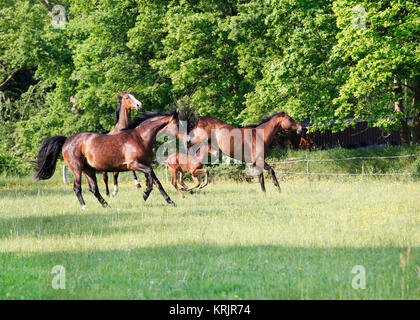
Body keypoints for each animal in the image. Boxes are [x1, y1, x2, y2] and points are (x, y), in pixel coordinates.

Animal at [33, 110, 183, 209]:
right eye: (177, 125)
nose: (186, 139)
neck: (141, 138)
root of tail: (67, 140)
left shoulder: (145, 164)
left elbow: (157, 182)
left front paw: (170, 202)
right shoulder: (133, 164)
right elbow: (151, 177)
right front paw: (145, 193)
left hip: (88, 170)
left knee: (94, 189)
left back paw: (107, 206)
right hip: (77, 168)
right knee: (77, 187)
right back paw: (85, 207)